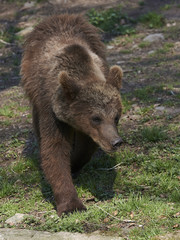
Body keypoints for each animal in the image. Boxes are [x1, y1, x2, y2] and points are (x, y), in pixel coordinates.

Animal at [20, 13, 123, 216]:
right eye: (96, 117)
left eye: (116, 117)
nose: (116, 141)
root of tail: (59, 16)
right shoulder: (51, 109)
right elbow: (55, 149)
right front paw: (71, 205)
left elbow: (86, 146)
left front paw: (75, 163)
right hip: (32, 83)